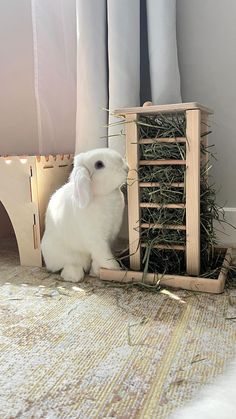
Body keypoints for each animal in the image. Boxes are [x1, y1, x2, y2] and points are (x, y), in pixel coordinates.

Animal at [41, 148, 128, 282]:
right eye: (99, 164)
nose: (126, 168)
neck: (103, 196)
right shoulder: (96, 239)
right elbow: (104, 255)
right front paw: (115, 268)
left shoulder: (110, 237)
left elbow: (98, 257)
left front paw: (96, 272)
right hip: (69, 256)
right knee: (67, 266)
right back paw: (74, 276)